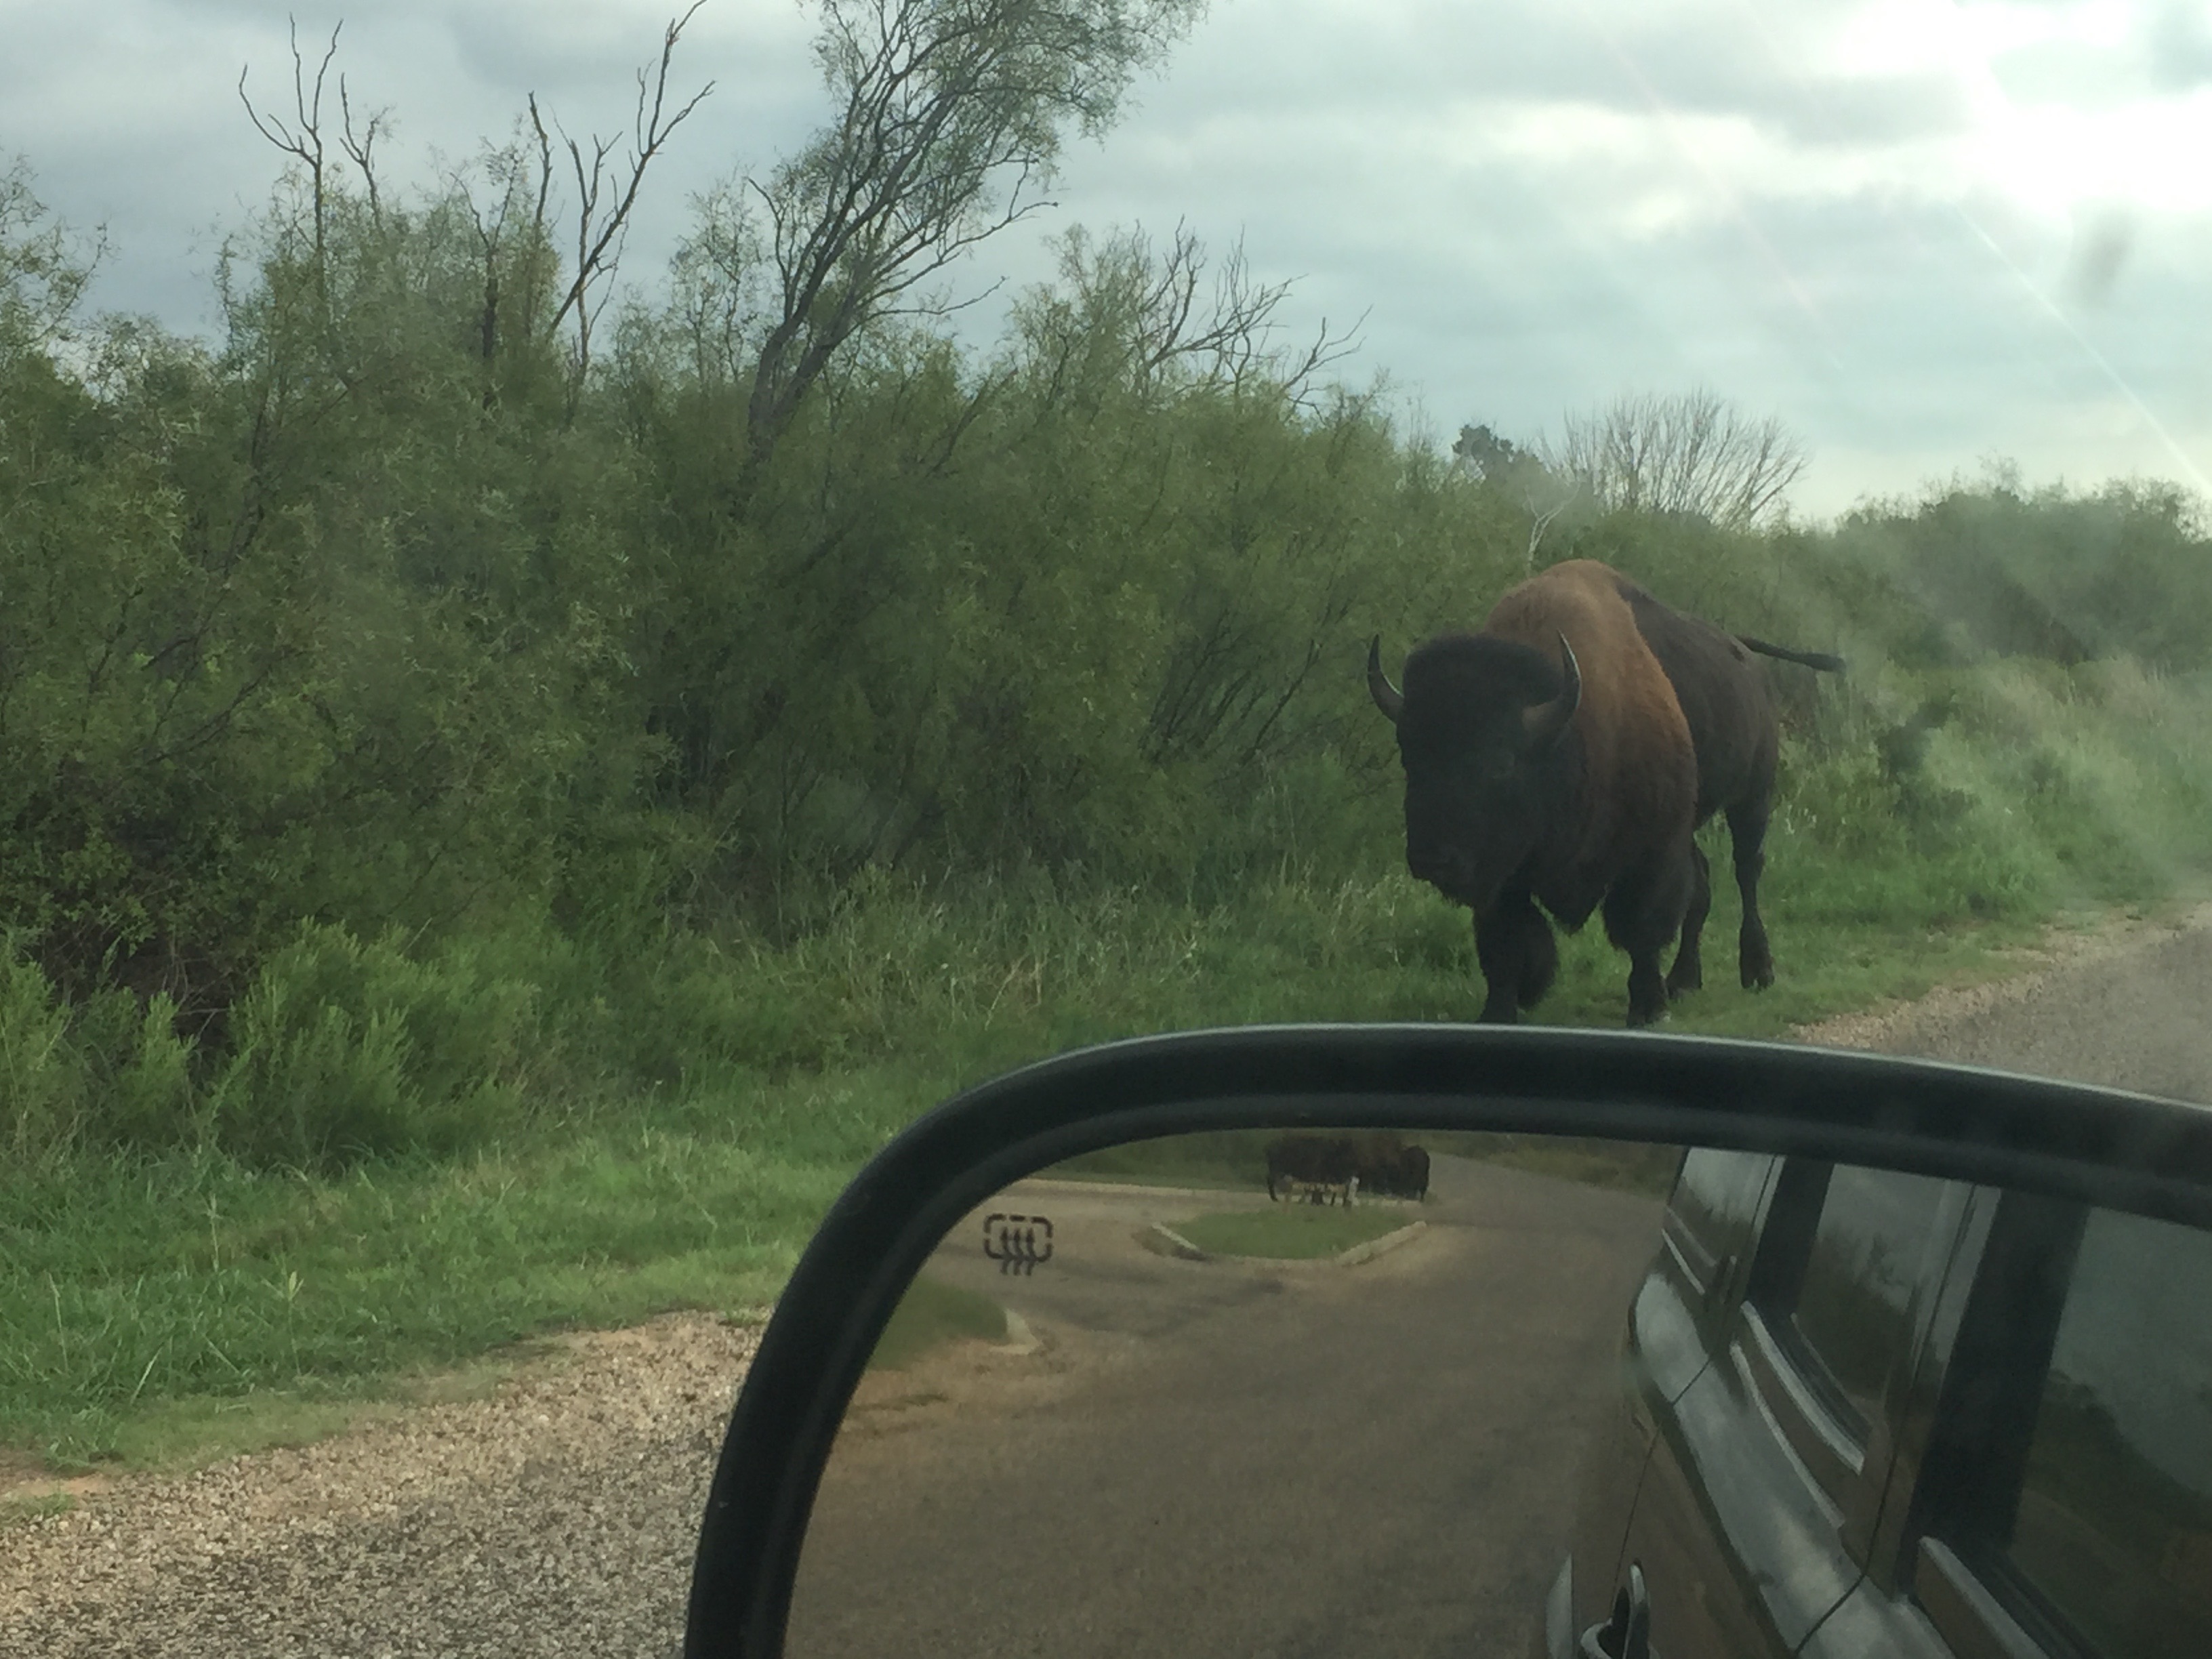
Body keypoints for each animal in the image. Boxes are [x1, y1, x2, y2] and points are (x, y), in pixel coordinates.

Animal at [1371, 559, 1840, 1026]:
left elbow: (1641, 928)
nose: (1432, 859)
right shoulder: (1505, 876)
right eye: (1409, 756)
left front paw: (1649, 1009)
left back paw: (1757, 970)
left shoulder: (1651, 850)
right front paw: (1500, 1010)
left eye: (1501, 764)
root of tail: (1745, 656)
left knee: (1746, 871)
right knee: (1703, 882)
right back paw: (1683, 980)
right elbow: (1507, 942)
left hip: (1752, 796)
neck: (1568, 733)